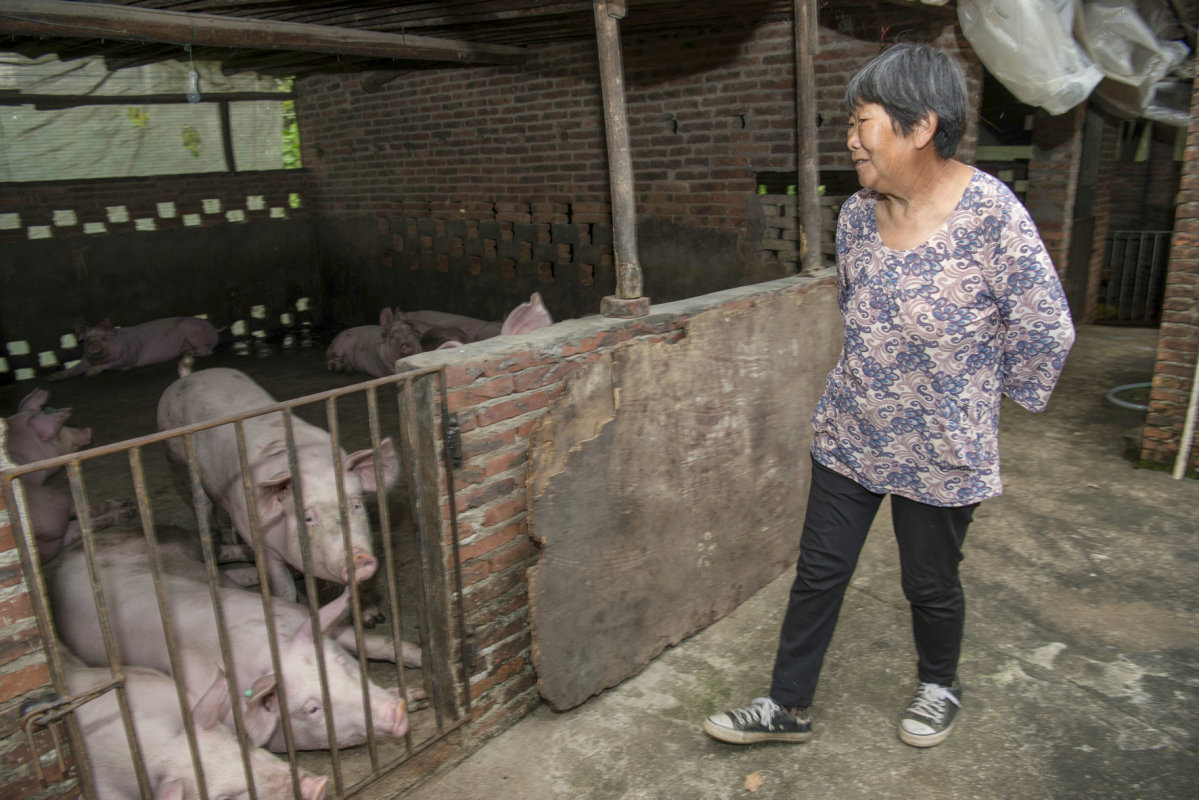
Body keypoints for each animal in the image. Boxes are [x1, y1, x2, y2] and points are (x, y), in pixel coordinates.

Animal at [49, 316, 220, 381]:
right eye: (87, 340)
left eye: (104, 338)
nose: (94, 347)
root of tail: (213, 328)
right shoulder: (85, 361)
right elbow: (74, 369)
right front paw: (52, 377)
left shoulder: (129, 357)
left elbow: (112, 365)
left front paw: (90, 373)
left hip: (193, 335)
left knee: (207, 350)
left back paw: (189, 352)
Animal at [52, 527, 426, 753]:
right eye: (311, 709)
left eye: (342, 665)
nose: (395, 710)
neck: (258, 649)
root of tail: (62, 556)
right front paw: (416, 697)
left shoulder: (296, 616)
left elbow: (376, 644)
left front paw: (421, 675)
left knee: (215, 547)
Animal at [152, 367, 398, 604]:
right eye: (307, 518)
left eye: (356, 505)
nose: (359, 558)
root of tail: (188, 376)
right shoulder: (265, 549)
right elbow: (284, 587)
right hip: (176, 457)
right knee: (202, 503)